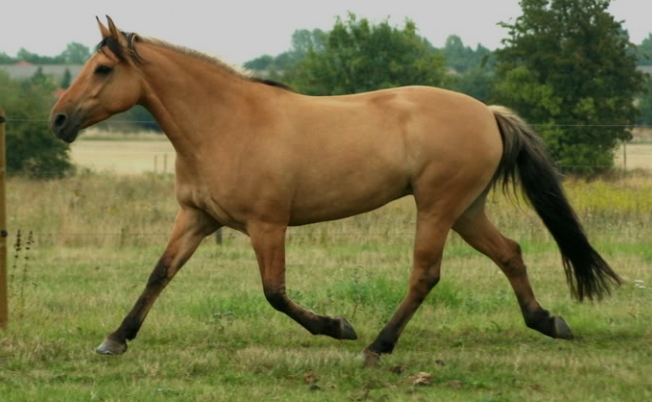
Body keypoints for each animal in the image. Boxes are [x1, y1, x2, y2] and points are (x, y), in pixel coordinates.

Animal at [49, 16, 620, 364]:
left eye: (103, 68)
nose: (58, 120)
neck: (225, 124)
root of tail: (486, 112)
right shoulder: (196, 218)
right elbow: (159, 274)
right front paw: (115, 339)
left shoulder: (267, 225)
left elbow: (275, 293)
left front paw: (336, 326)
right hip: (466, 210)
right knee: (510, 253)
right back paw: (547, 321)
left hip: (438, 206)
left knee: (425, 274)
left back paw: (377, 346)